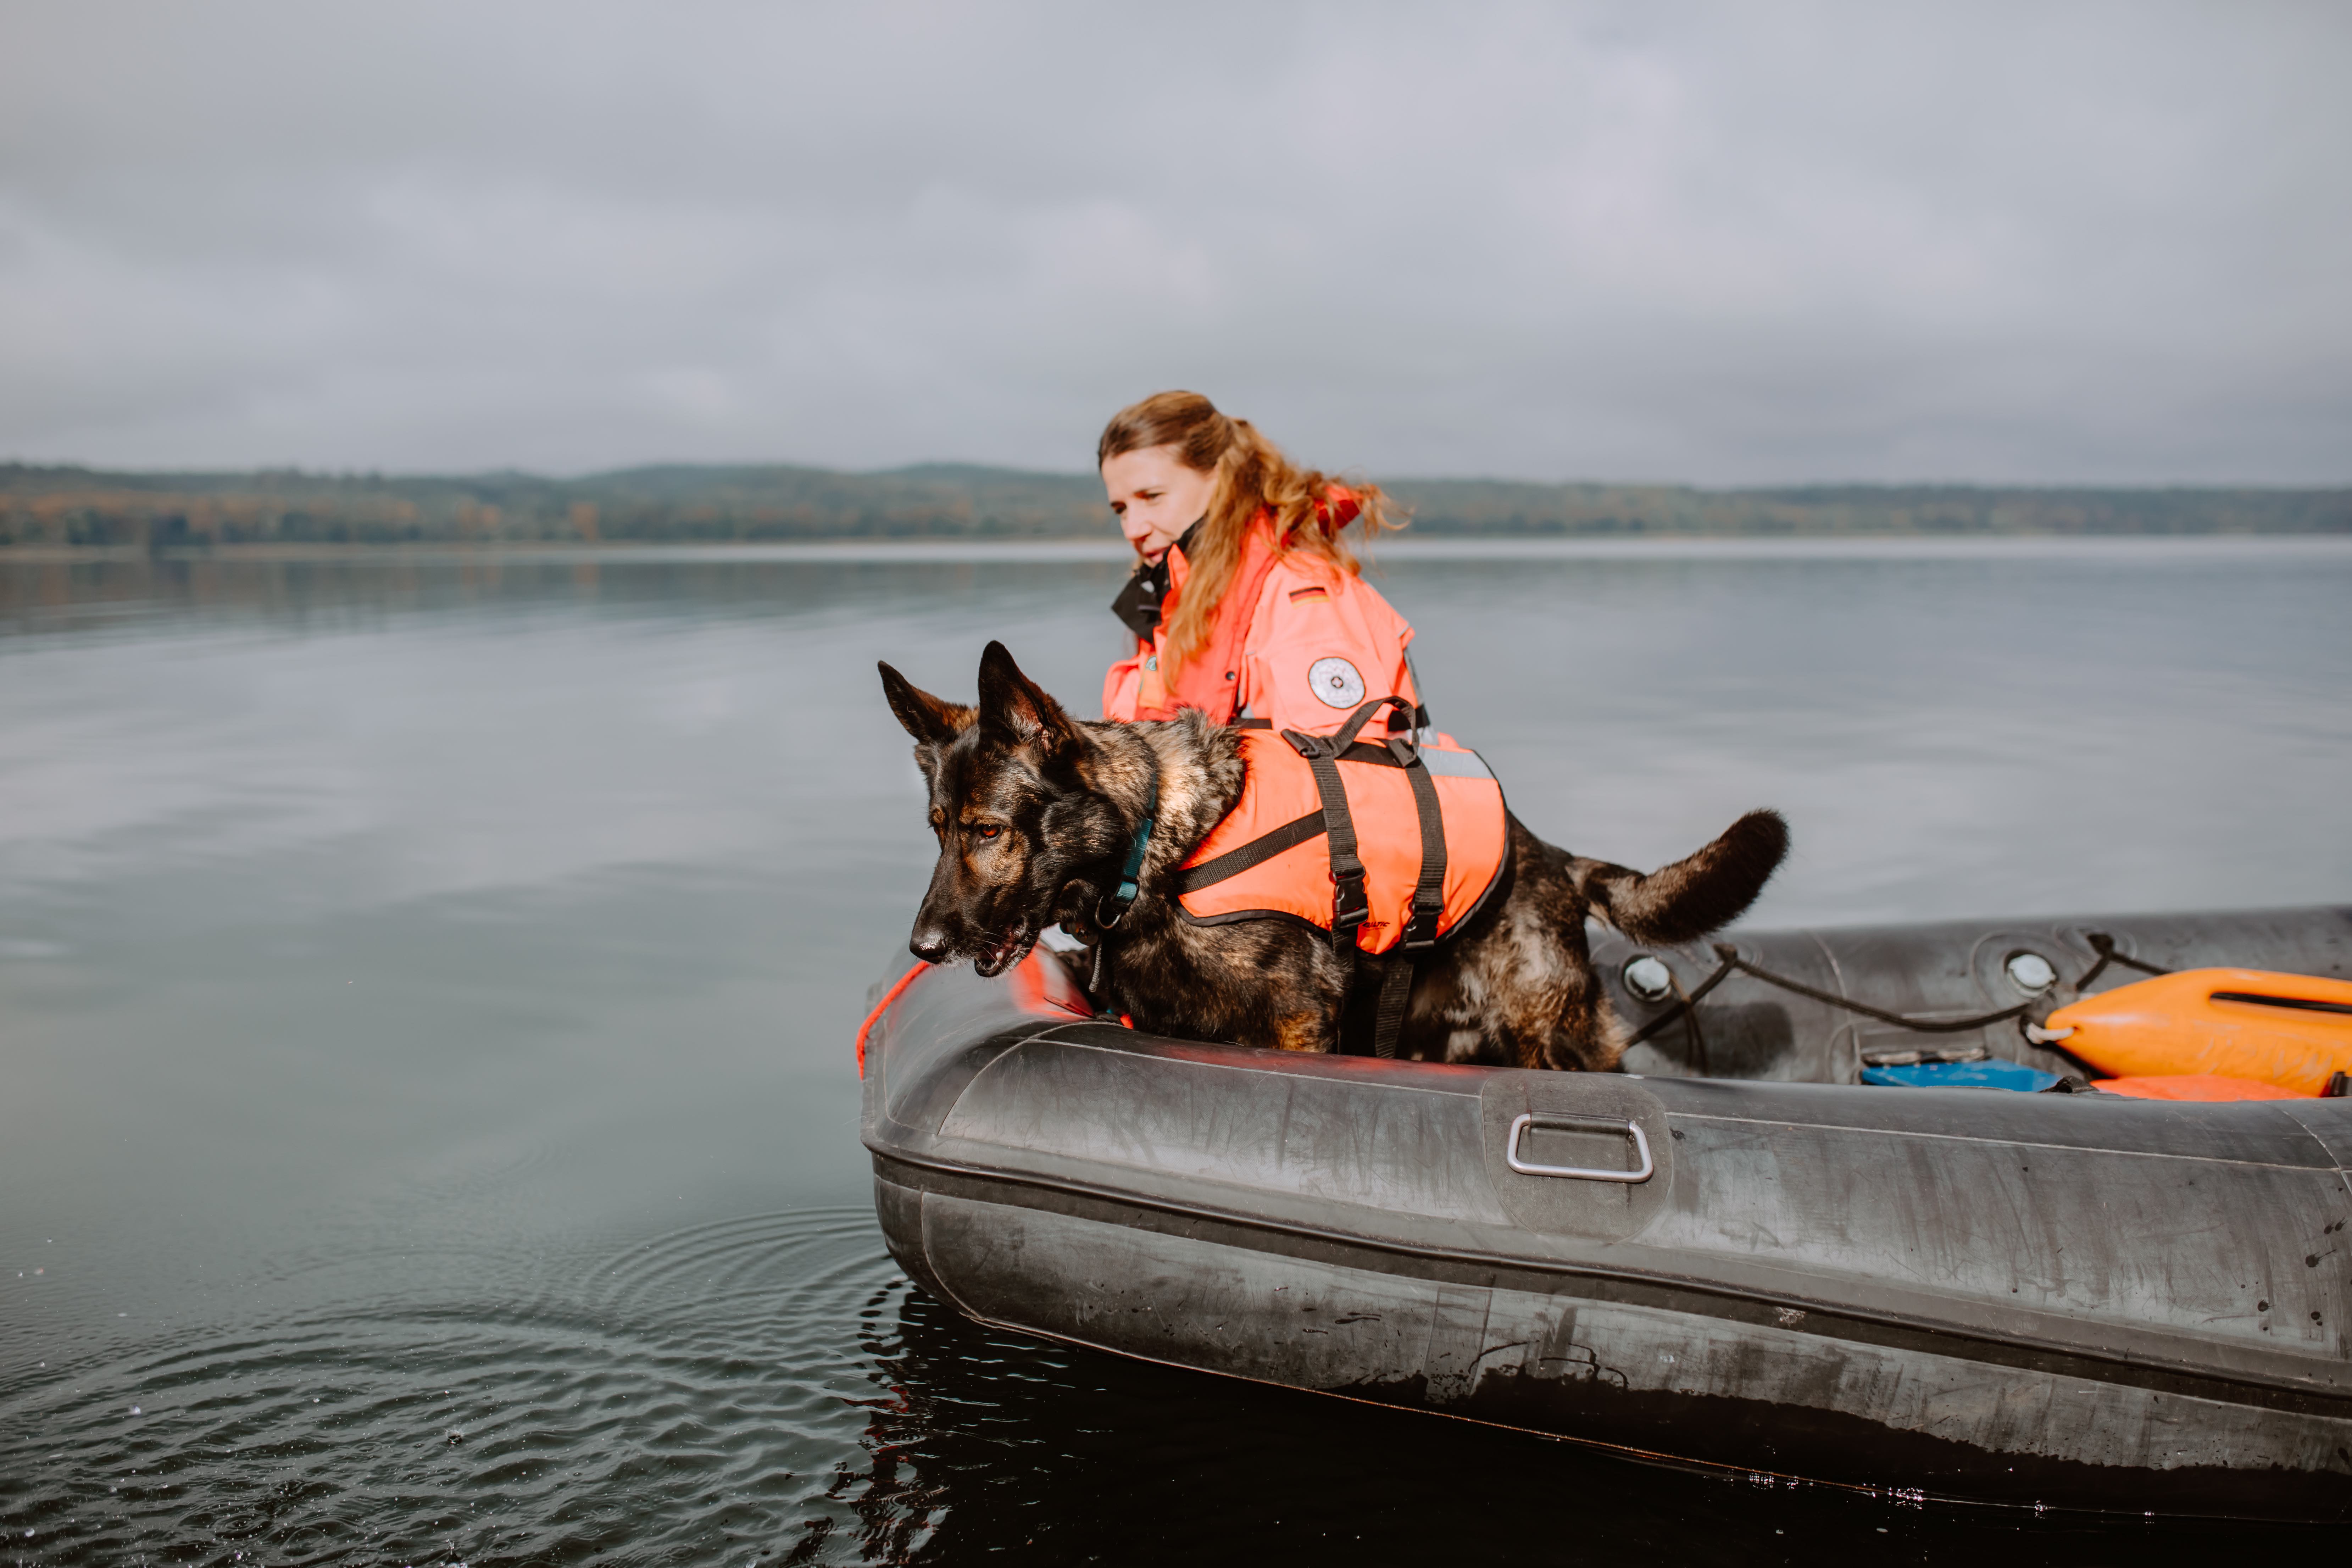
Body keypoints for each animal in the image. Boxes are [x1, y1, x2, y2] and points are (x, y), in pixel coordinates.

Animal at [879, 644, 1778, 1072]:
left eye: (987, 830)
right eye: (936, 828)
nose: (921, 947)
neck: (1157, 850)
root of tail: (1551, 855)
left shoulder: (1298, 1022)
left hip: (1544, 1036)